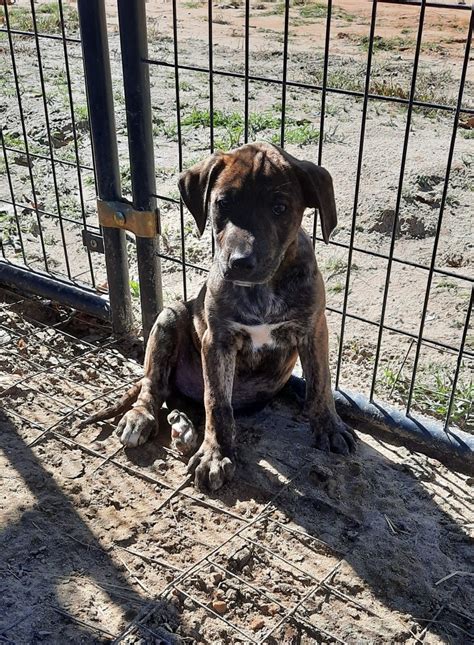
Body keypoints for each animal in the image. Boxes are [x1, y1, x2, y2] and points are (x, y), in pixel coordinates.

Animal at [81, 142, 356, 488]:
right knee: (155, 385)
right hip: (169, 317)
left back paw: (183, 427)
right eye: (223, 204)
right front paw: (215, 454)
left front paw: (330, 427)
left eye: (279, 208)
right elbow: (217, 401)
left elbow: (321, 383)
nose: (240, 262)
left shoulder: (313, 329)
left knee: (180, 401)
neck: (261, 289)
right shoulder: (217, 340)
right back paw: (143, 418)